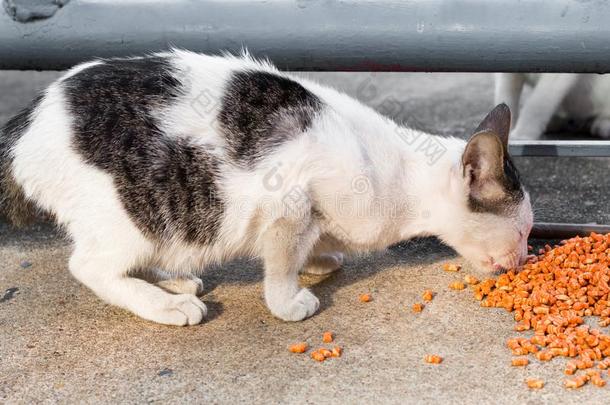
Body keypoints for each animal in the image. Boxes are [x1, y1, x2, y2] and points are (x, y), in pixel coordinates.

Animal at [0, 49, 528, 326]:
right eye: (523, 232)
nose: (523, 259)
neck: (402, 179)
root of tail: (27, 122)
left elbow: (311, 245)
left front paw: (320, 259)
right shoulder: (290, 202)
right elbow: (281, 259)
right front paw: (288, 299)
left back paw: (172, 280)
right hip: (132, 212)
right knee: (89, 266)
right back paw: (165, 304)